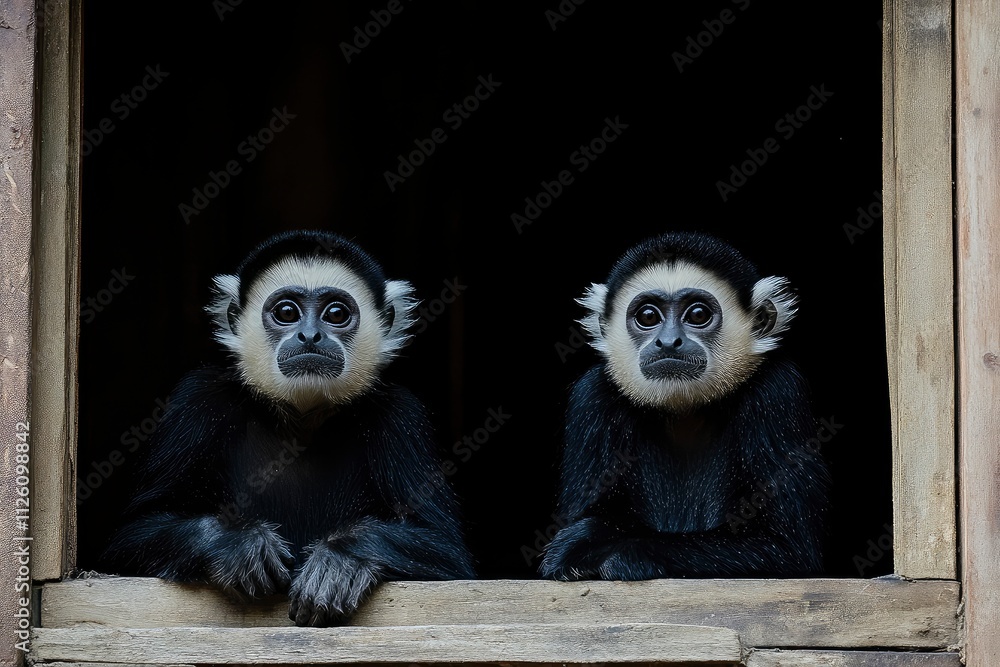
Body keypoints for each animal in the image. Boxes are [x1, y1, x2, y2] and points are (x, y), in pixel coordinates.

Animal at [102, 230, 475, 626]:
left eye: (336, 314)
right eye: (286, 313)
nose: (309, 336)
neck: (302, 421)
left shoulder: (402, 416)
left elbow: (447, 550)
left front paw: (341, 560)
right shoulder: (197, 398)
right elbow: (134, 534)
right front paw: (237, 544)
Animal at [539, 231, 829, 581]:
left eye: (698, 315)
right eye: (648, 317)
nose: (668, 342)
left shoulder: (779, 391)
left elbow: (788, 548)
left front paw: (617, 549)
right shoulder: (590, 397)